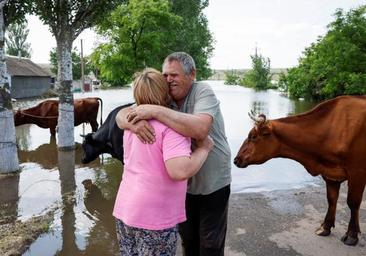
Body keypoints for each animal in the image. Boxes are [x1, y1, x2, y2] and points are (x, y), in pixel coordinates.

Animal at [234, 95, 366, 246]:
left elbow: (353, 202)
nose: (236, 159)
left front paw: (352, 235)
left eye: (253, 137)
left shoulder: (357, 171)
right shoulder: (330, 173)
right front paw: (325, 227)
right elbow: (331, 199)